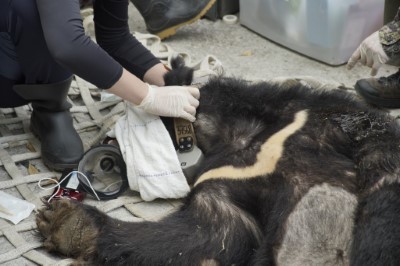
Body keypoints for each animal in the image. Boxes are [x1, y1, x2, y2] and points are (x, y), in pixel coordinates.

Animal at [35, 58, 400, 266]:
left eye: (112, 140)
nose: (102, 159)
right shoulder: (219, 186)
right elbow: (207, 235)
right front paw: (67, 223)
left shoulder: (312, 115)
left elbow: (378, 143)